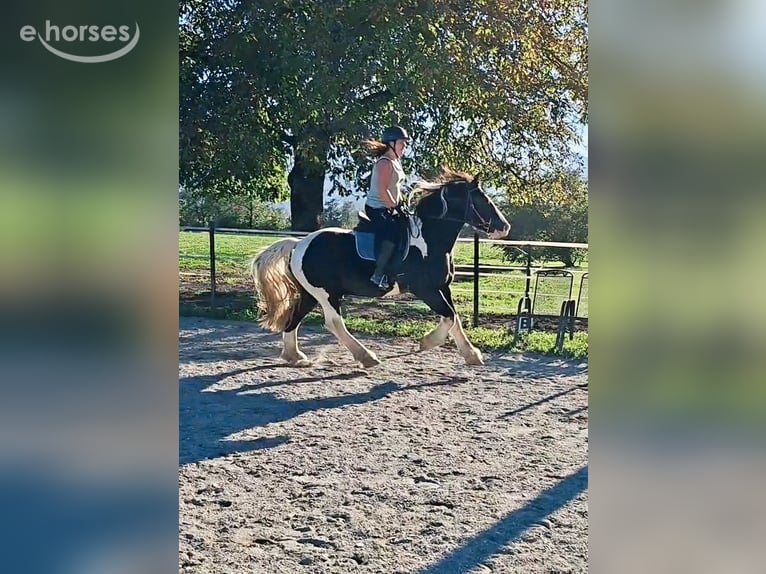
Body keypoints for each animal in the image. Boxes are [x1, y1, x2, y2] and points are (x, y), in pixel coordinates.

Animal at [249, 167, 511, 368]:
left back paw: (294, 356)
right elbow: (448, 317)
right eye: (482, 200)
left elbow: (454, 318)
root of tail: (299, 244)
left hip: (311, 294)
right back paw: (366, 357)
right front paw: (426, 343)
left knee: (294, 319)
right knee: (334, 323)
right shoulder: (425, 290)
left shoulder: (442, 287)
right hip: (326, 294)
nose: (504, 227)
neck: (430, 241)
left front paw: (471, 354)